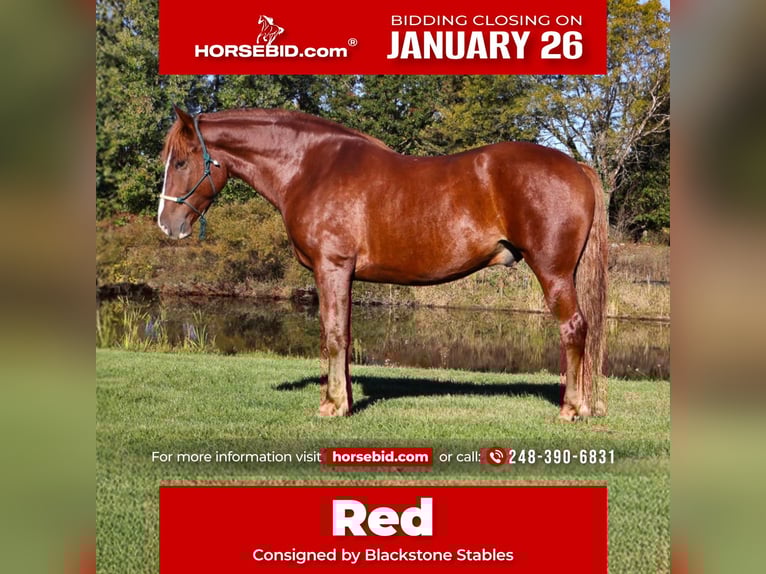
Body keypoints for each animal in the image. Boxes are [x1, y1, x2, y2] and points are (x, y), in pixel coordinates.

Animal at [158, 106, 608, 421]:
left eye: (180, 162)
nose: (166, 224)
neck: (309, 167)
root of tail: (577, 166)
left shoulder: (332, 267)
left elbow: (334, 336)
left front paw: (333, 406)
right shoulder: (343, 275)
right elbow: (342, 335)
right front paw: (342, 400)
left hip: (553, 273)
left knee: (573, 329)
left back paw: (571, 409)